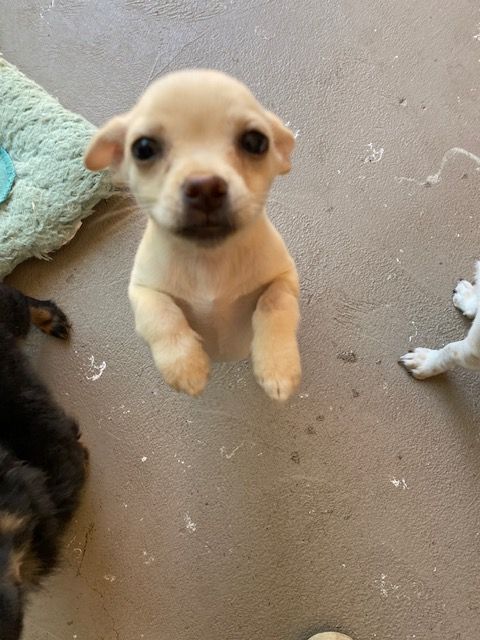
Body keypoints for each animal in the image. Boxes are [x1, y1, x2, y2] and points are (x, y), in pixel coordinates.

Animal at [85, 69, 301, 401]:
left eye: (255, 142)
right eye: (143, 148)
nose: (205, 187)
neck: (208, 261)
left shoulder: (285, 278)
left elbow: (274, 304)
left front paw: (277, 366)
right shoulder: (143, 290)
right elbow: (162, 316)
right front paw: (185, 366)